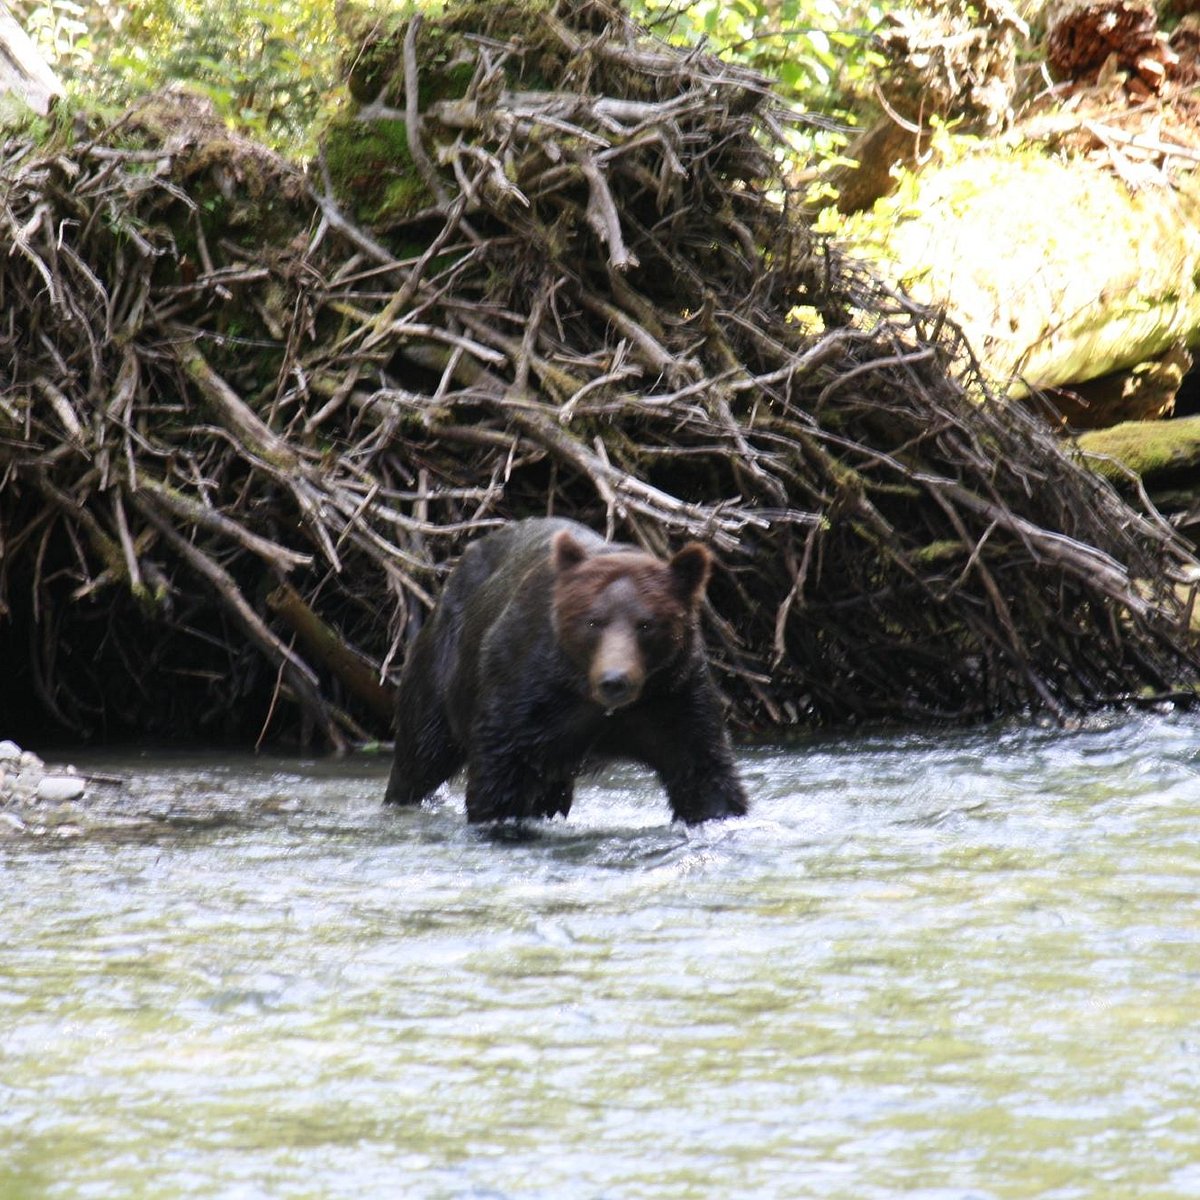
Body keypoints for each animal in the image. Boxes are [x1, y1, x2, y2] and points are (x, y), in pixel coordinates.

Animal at [384, 516, 748, 825]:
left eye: (647, 624)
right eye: (593, 621)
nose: (615, 681)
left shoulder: (673, 697)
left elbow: (704, 772)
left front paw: (717, 812)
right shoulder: (527, 694)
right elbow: (500, 774)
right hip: (441, 671)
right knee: (422, 754)